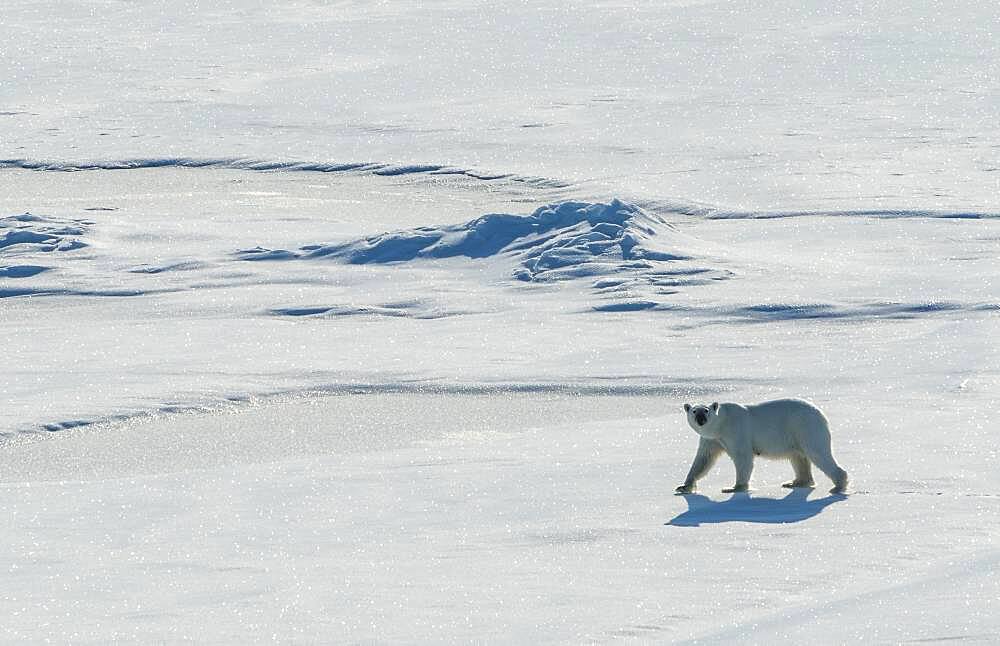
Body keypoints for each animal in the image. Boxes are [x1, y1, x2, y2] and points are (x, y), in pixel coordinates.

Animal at [676, 400, 848, 496]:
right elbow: (703, 460)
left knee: (818, 454)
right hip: (795, 435)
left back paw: (838, 486)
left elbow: (743, 457)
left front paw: (734, 488)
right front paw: (684, 486)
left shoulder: (735, 430)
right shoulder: (711, 440)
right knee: (798, 457)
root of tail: (821, 414)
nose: (700, 419)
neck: (721, 424)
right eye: (694, 411)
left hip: (805, 427)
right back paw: (795, 482)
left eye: (706, 410)